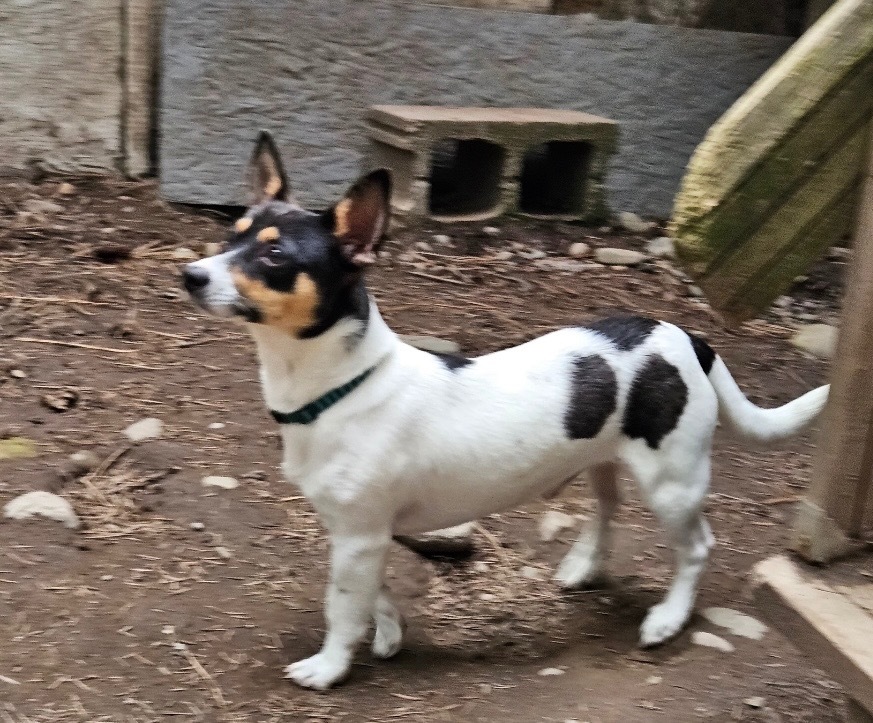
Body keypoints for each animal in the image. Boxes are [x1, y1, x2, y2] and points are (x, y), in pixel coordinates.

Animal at [181, 132, 828, 692]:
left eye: (274, 254)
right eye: (231, 234)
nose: (190, 275)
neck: (342, 385)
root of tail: (683, 335)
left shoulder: (360, 534)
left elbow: (341, 607)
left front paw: (330, 666)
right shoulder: (359, 534)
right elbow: (373, 594)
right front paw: (387, 631)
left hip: (673, 483)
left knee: (695, 548)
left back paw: (668, 618)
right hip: (604, 458)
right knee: (608, 508)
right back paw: (584, 566)